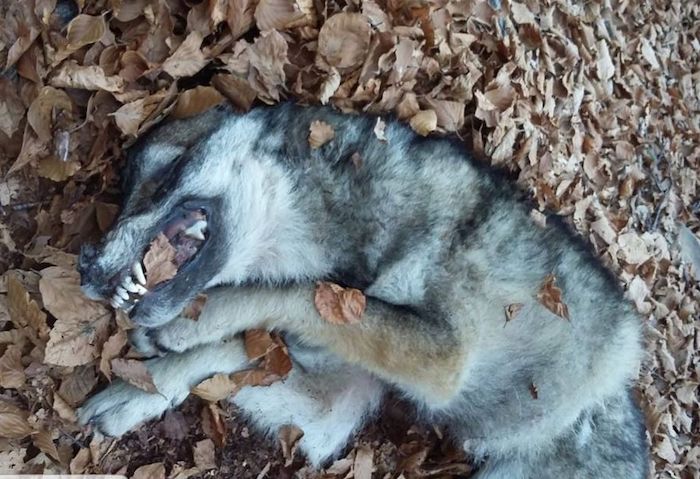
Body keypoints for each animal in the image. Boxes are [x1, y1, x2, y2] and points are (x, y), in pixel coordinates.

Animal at [77, 102, 649, 478]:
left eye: (164, 174)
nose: (85, 266)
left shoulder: (443, 357)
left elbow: (293, 294)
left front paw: (190, 327)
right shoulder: (328, 410)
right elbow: (240, 349)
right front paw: (142, 388)